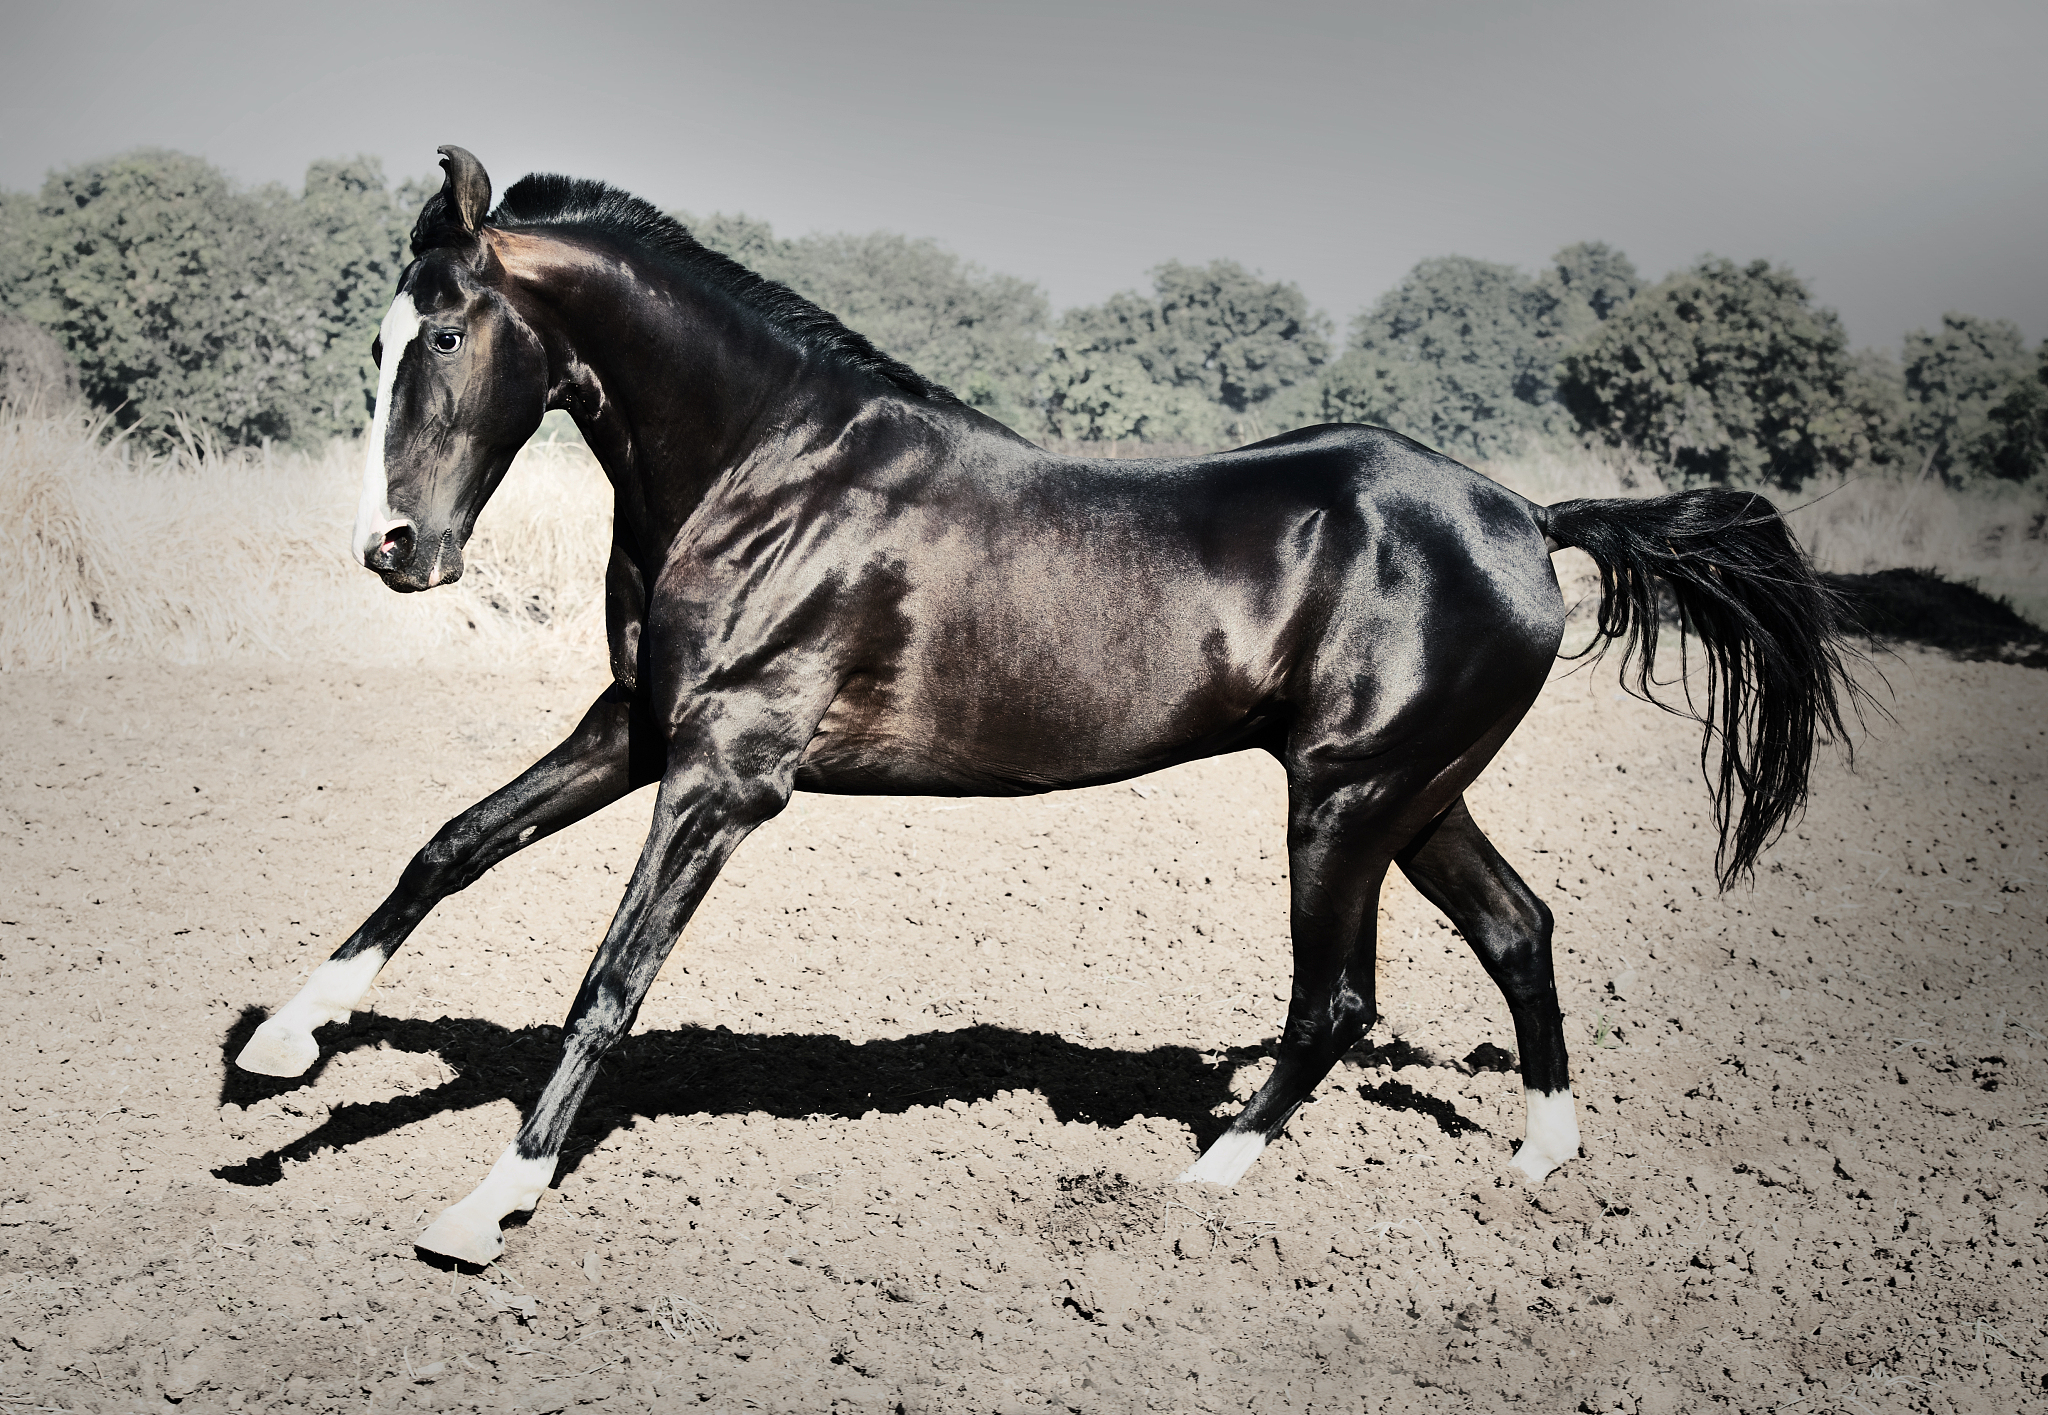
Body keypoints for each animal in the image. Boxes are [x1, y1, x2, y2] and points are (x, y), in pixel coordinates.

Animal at [237, 146, 1859, 1265]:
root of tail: (1528, 514)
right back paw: (1542, 1158)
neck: (764, 470)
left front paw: (483, 1202)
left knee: (1334, 997)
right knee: (1518, 927)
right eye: (376, 344)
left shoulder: (726, 771)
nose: (394, 550)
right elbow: (449, 844)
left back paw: (1202, 1178)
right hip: (1415, 795)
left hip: (1344, 800)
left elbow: (609, 978)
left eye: (446, 335)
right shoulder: (636, 726)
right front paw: (280, 1052)